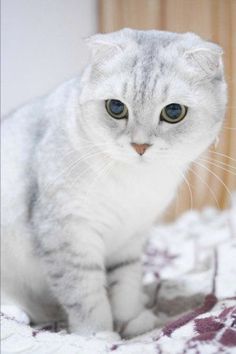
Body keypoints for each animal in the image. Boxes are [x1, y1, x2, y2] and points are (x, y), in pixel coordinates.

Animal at [1, 29, 227, 338]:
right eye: (116, 107)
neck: (133, 181)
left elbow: (126, 282)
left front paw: (130, 321)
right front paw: (97, 334)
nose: (140, 145)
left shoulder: (131, 237)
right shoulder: (69, 233)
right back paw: (17, 313)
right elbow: (85, 293)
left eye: (173, 112)